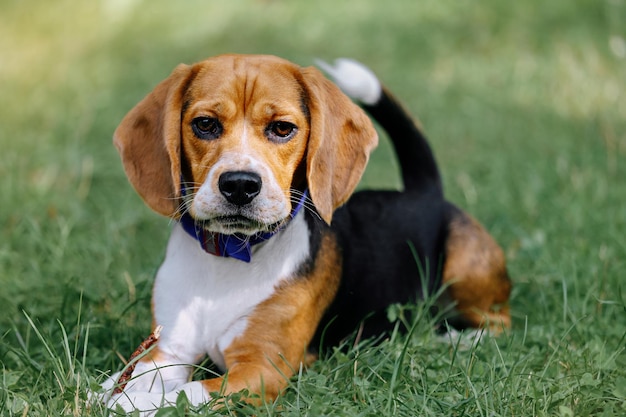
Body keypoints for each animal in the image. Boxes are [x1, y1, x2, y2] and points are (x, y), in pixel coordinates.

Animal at [101, 54, 508, 412]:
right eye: (205, 124)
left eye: (282, 128)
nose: (239, 184)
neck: (229, 257)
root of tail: (425, 191)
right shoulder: (168, 348)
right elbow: (140, 375)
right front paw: (111, 388)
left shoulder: (260, 370)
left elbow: (187, 392)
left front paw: (123, 403)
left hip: (467, 269)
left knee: (499, 322)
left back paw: (457, 338)